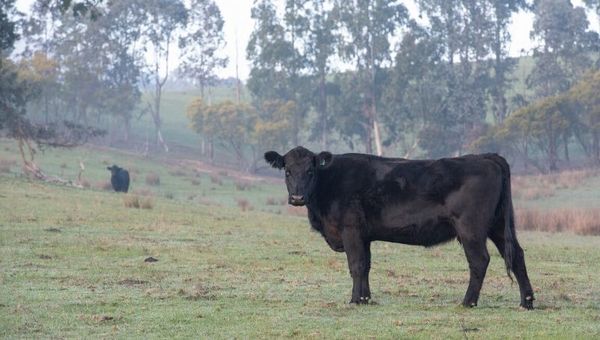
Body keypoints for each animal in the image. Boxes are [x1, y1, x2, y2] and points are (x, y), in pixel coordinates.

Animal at [264, 147, 536, 310]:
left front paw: (355, 300)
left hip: (471, 229)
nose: (297, 197)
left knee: (479, 261)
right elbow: (366, 266)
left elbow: (356, 265)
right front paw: (366, 298)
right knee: (518, 256)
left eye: (310, 170)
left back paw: (467, 302)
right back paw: (527, 302)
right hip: (498, 226)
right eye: (287, 171)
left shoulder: (350, 229)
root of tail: (485, 156)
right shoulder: (364, 236)